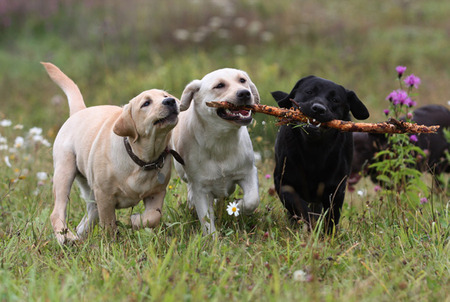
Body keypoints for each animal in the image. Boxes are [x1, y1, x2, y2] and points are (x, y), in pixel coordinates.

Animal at [42, 62, 183, 244]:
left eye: (165, 95)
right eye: (146, 103)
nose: (170, 101)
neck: (142, 159)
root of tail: (79, 111)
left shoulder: (156, 192)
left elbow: (153, 216)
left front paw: (136, 220)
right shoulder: (104, 195)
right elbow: (108, 223)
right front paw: (111, 243)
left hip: (89, 187)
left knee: (89, 216)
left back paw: (78, 239)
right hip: (64, 171)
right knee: (57, 212)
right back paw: (66, 237)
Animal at [170, 69, 260, 236]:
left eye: (242, 80)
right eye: (219, 85)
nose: (244, 93)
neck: (221, 140)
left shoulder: (248, 172)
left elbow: (252, 200)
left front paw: (238, 206)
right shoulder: (201, 187)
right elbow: (206, 220)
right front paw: (212, 240)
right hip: (181, 171)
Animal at [270, 76, 370, 231]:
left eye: (335, 100)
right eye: (309, 91)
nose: (318, 108)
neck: (314, 151)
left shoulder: (335, 189)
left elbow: (331, 218)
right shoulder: (284, 183)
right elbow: (302, 209)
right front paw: (311, 227)